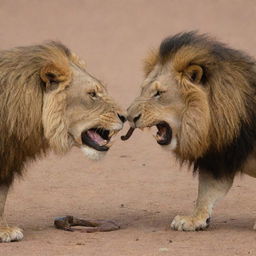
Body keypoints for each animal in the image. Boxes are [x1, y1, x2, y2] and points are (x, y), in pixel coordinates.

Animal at [121, 32, 256, 232]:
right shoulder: (216, 159)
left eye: (159, 93)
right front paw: (193, 220)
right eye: (143, 89)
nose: (129, 116)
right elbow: (206, 193)